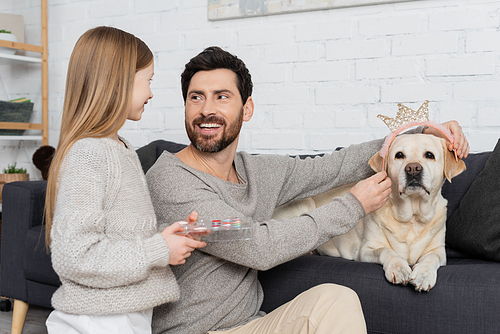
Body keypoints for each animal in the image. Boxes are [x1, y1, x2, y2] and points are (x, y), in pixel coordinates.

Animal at [274, 134, 464, 290]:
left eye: (429, 155)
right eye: (399, 155)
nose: (413, 169)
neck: (411, 217)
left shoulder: (439, 251)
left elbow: (431, 258)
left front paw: (423, 275)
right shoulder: (366, 250)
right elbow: (386, 251)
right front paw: (399, 268)